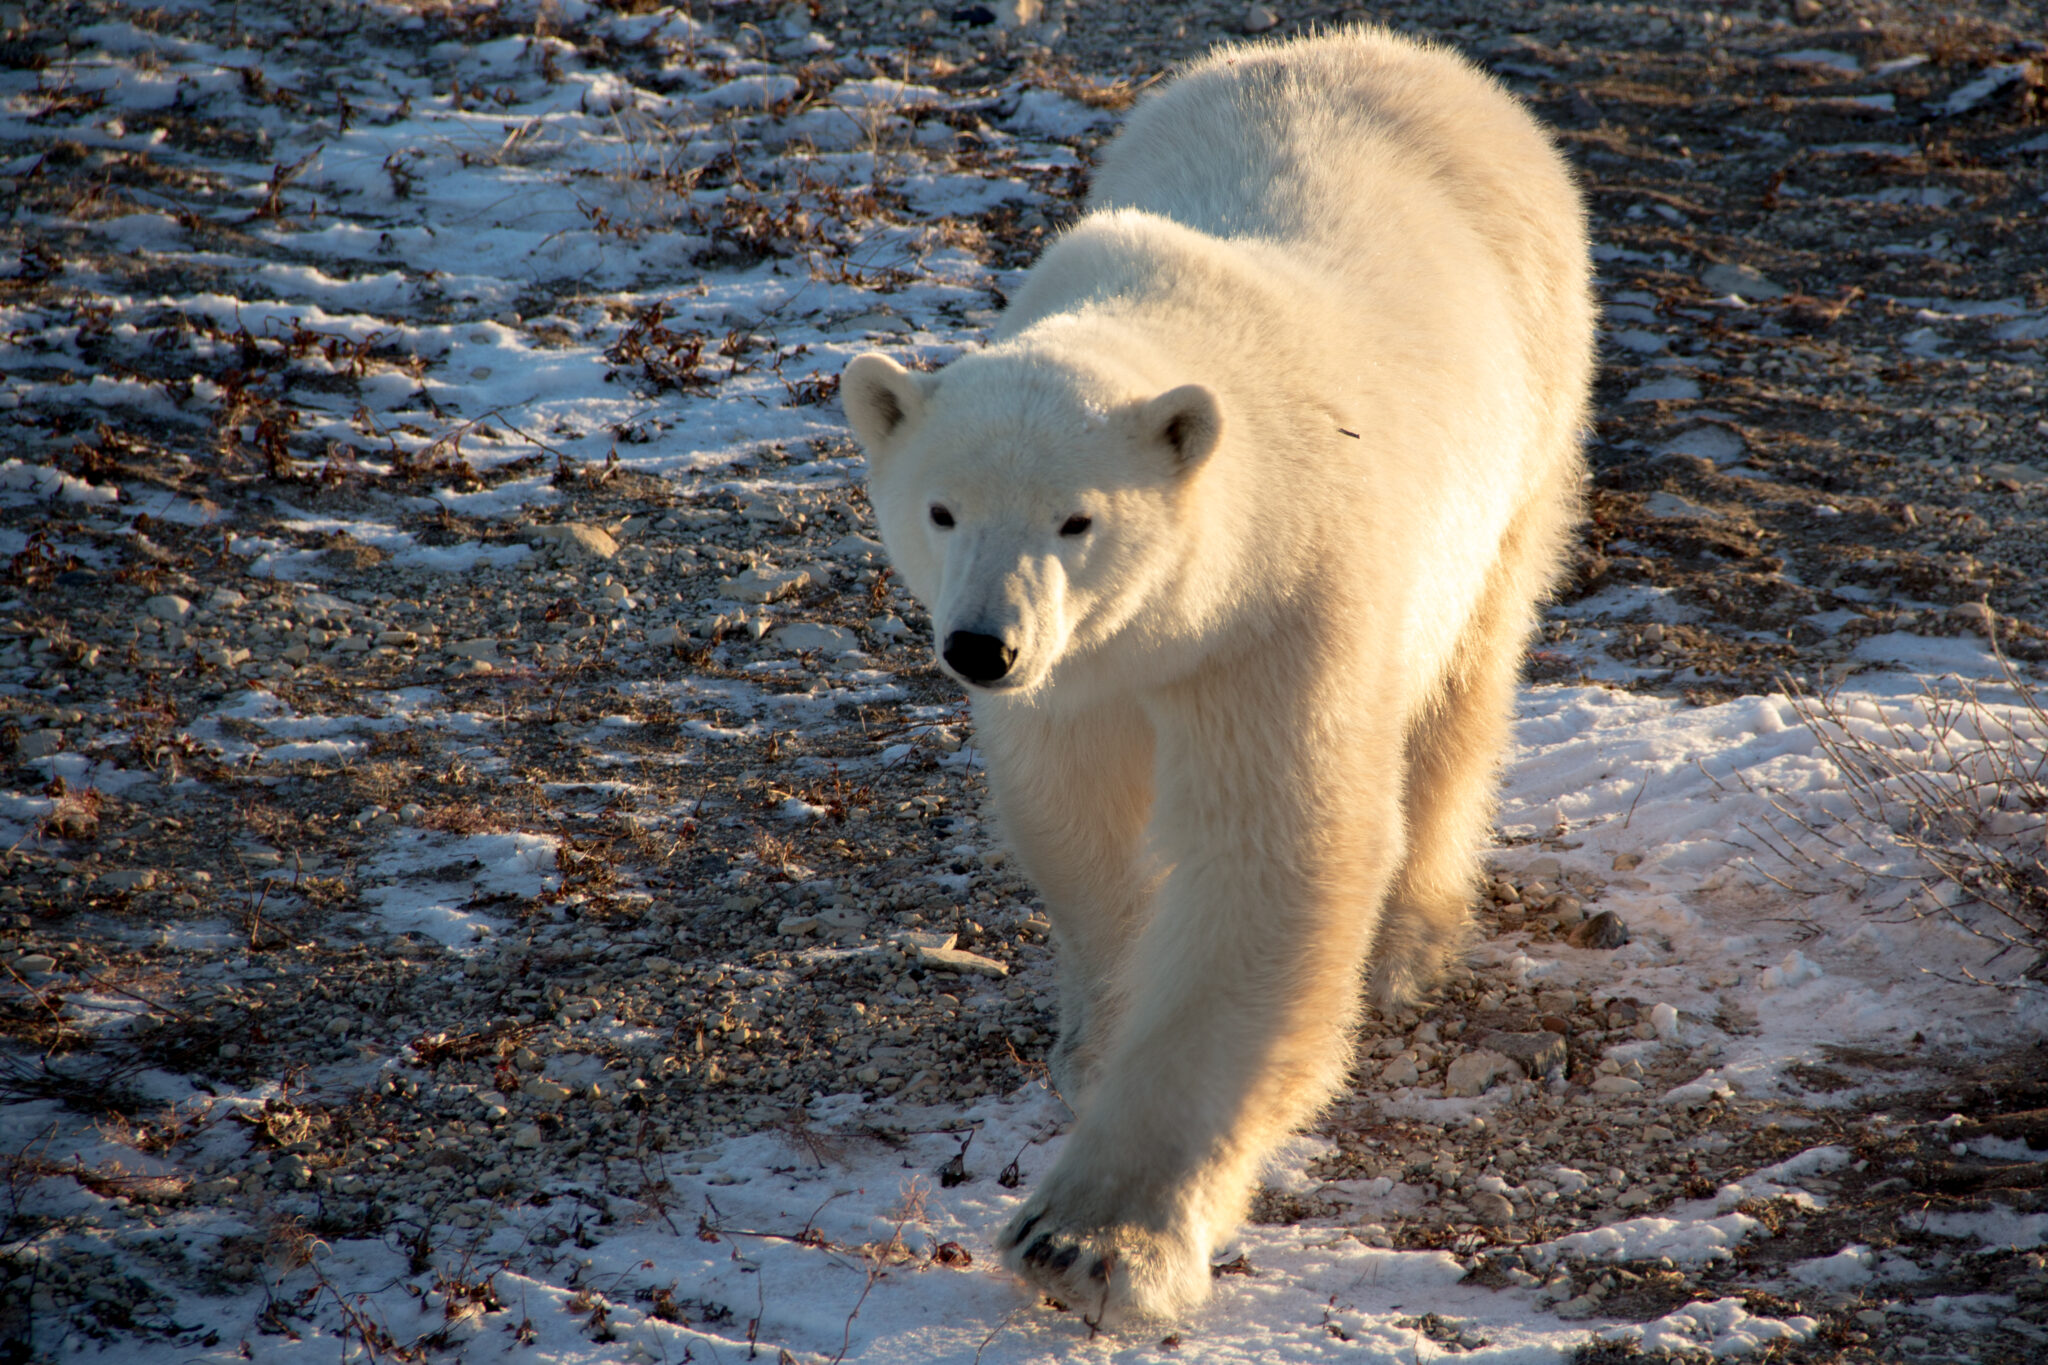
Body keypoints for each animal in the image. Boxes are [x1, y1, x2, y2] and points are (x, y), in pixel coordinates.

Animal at [835, 29, 1597, 1334]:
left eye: (1076, 518)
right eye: (939, 509)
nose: (982, 647)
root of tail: (1396, 51)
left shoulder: (1278, 609)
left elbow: (1272, 849)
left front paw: (1094, 1242)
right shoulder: (1079, 683)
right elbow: (1080, 823)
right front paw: (1092, 1041)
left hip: (1530, 419)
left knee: (1463, 676)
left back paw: (1411, 935)